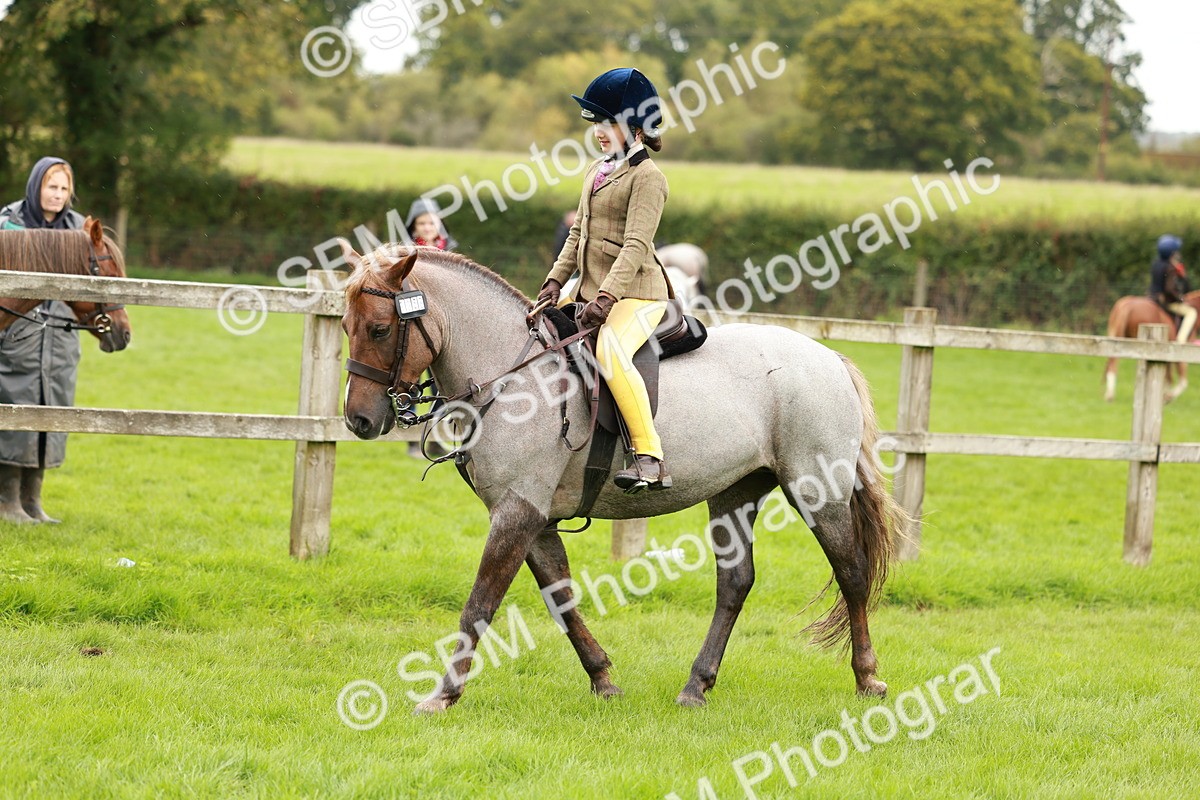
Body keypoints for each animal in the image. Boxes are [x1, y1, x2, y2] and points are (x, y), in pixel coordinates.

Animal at [340, 242, 903, 713]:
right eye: (346, 326)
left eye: (380, 329)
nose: (360, 421)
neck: (517, 378)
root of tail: (827, 356)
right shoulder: (535, 519)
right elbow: (561, 599)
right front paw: (603, 678)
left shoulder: (517, 512)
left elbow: (480, 603)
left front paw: (443, 694)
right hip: (734, 493)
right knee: (735, 583)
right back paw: (696, 685)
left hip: (816, 490)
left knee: (851, 572)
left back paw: (867, 678)